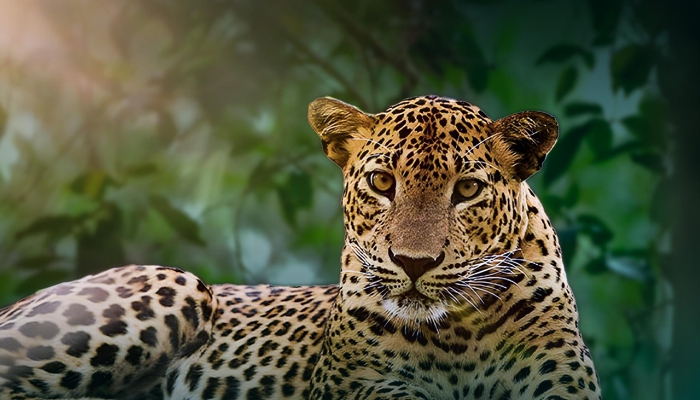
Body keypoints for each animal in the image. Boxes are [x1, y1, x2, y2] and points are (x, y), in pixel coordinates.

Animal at [0, 95, 600, 399]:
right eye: (383, 183)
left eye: (468, 190)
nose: (414, 263)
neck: (458, 335)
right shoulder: (359, 389)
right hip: (175, 284)